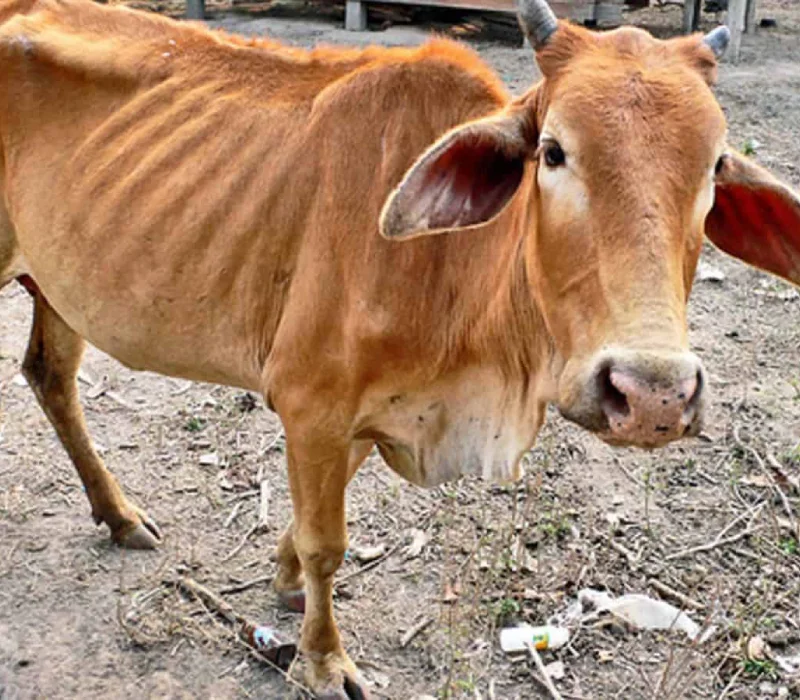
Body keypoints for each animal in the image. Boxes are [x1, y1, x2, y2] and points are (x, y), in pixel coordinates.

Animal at [1, 0, 799, 695]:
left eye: (714, 166)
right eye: (552, 150)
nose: (654, 392)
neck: (454, 275)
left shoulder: (358, 415)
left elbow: (314, 522)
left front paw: (285, 581)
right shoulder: (310, 402)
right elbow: (327, 543)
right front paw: (323, 661)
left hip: (59, 284)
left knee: (50, 377)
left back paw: (118, 515)